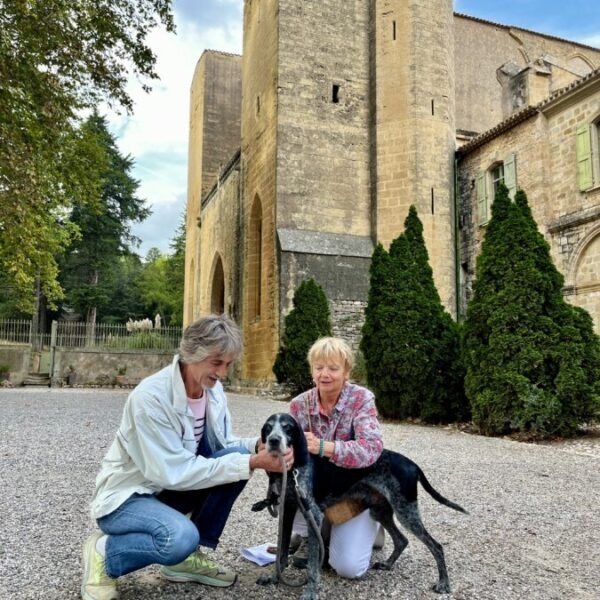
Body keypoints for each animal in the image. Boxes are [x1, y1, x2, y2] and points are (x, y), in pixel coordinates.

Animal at [253, 412, 468, 600]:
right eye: (268, 428)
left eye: (287, 428)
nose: (274, 440)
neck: (293, 469)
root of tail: (413, 465)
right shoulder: (287, 510)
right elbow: (281, 554)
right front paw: (274, 578)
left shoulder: (313, 514)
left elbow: (313, 565)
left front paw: (311, 592)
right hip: (381, 511)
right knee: (402, 540)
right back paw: (388, 565)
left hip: (406, 512)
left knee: (436, 546)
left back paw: (444, 583)